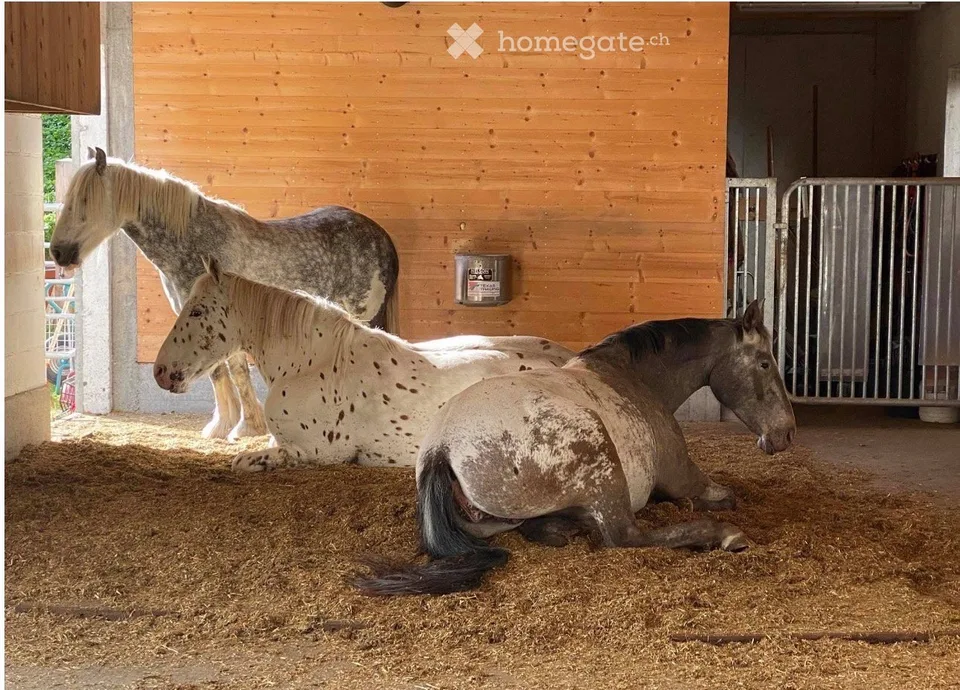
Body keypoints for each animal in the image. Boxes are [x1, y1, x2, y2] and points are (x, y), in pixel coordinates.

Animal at [49, 147, 399, 441]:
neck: (193, 241)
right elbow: (218, 370)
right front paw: (223, 426)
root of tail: (382, 236)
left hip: (366, 314)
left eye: (85, 202)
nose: (58, 253)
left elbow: (236, 370)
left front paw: (245, 428)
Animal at [354, 300, 796, 596]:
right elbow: (721, 496)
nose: (786, 433)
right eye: (764, 363)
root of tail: (441, 449)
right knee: (623, 535)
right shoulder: (686, 480)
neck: (631, 378)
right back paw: (723, 535)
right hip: (598, 452)